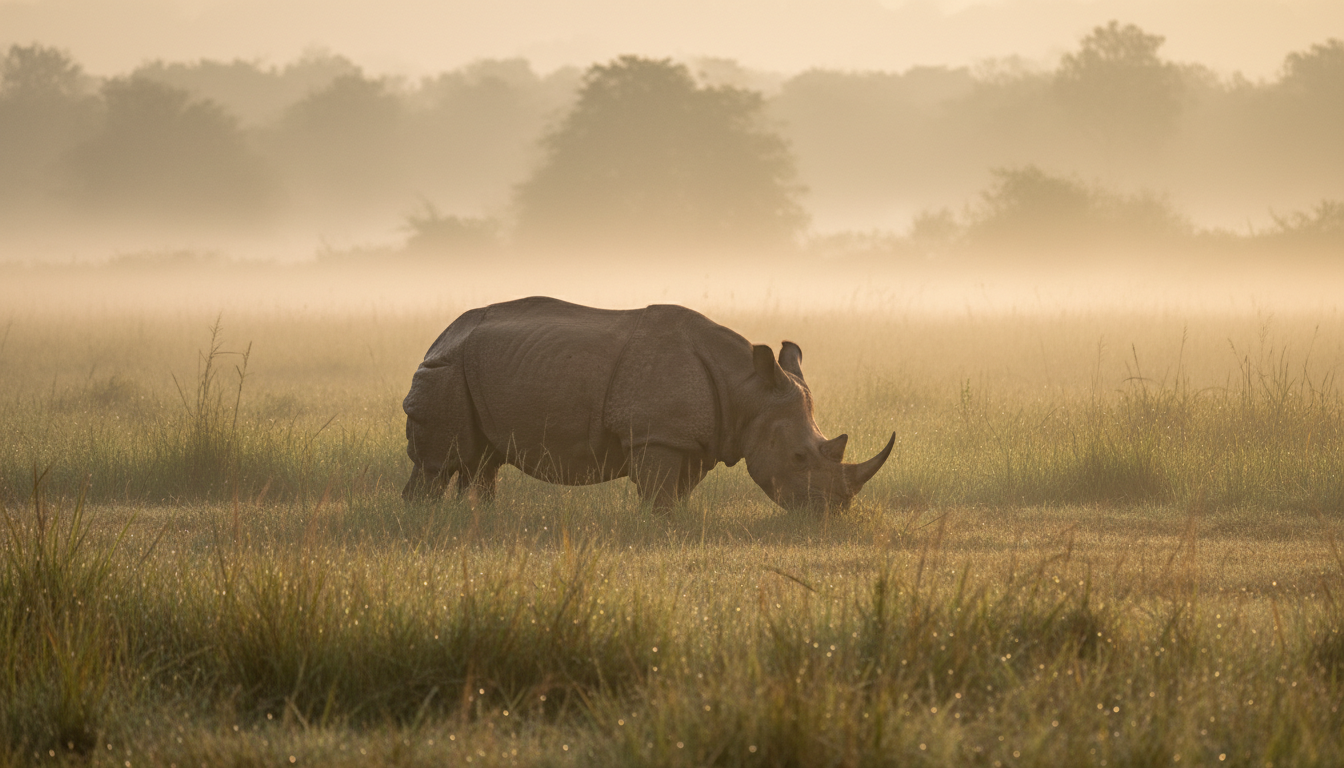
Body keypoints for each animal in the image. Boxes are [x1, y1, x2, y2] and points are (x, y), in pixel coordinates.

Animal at [402, 296, 893, 512]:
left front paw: (672, 523)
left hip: (469, 367)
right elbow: (658, 492)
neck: (748, 390)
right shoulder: (657, 435)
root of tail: (438, 338)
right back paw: (425, 519)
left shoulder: (694, 440)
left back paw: (474, 518)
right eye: (798, 457)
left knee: (482, 462)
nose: (833, 514)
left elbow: (677, 492)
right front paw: (656, 528)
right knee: (441, 463)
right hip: (446, 370)